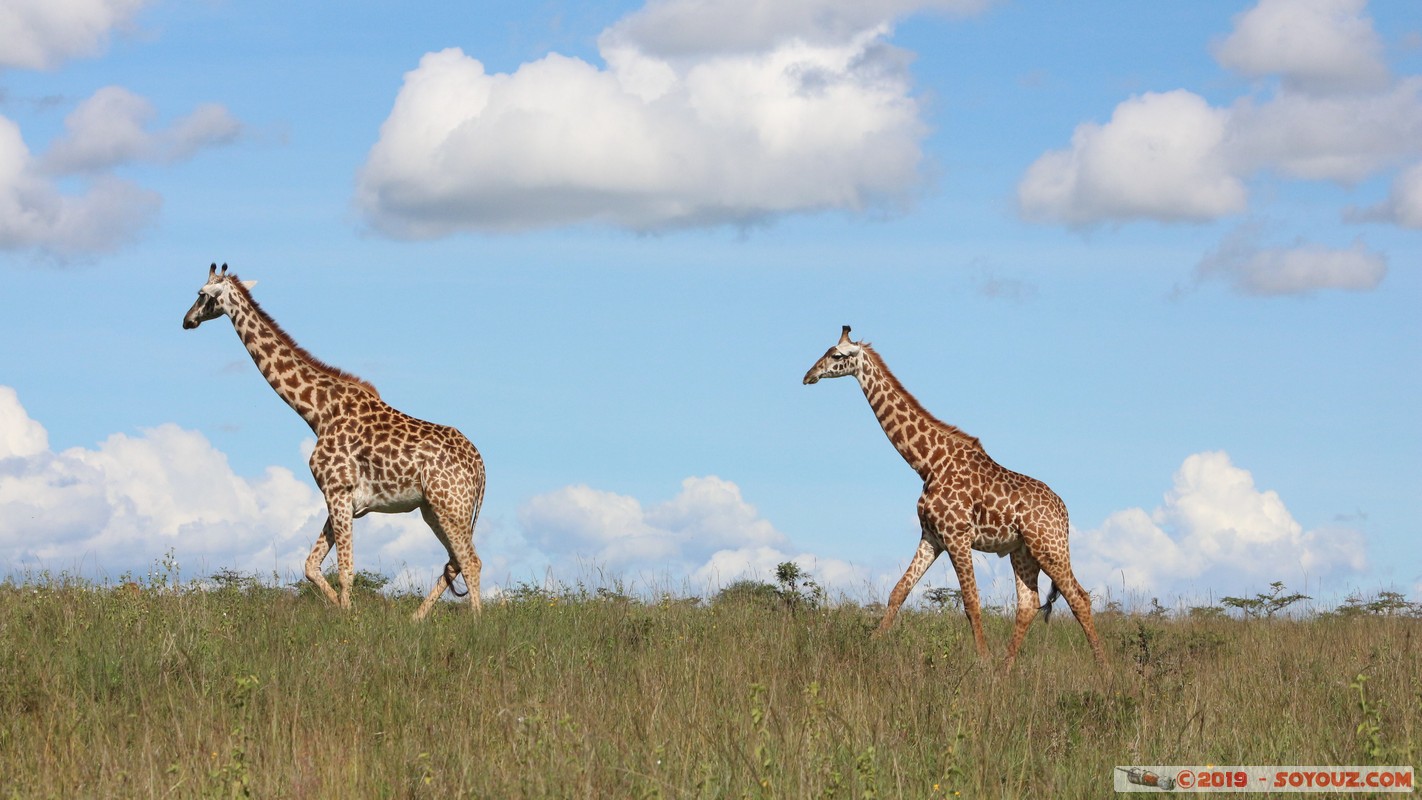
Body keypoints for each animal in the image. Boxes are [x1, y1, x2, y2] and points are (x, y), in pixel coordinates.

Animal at [183, 263, 485, 621]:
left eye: (201, 294)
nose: (187, 319)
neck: (317, 412)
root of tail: (480, 466)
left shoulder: (338, 491)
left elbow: (345, 569)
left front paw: (349, 619)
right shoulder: (340, 498)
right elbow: (311, 565)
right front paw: (342, 612)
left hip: (451, 505)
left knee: (470, 561)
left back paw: (477, 622)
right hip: (434, 509)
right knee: (455, 563)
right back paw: (415, 618)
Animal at [803, 326, 1105, 668]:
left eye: (836, 355)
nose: (809, 375)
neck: (928, 463)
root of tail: (1064, 511)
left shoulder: (957, 535)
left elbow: (971, 602)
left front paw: (983, 661)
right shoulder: (932, 536)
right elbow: (898, 591)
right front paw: (870, 645)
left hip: (1049, 547)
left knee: (1079, 597)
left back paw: (1103, 668)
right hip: (1022, 552)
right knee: (1028, 604)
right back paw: (1006, 669)